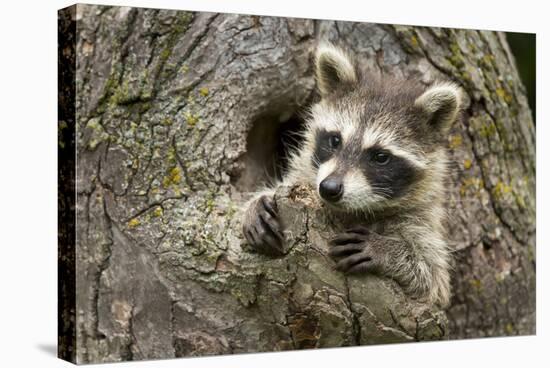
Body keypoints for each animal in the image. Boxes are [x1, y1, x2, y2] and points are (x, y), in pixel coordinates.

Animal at [244, 42, 464, 308]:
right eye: (335, 140)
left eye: (380, 157)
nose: (329, 188)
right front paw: (257, 202)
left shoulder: (421, 219)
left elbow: (433, 279)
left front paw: (388, 250)